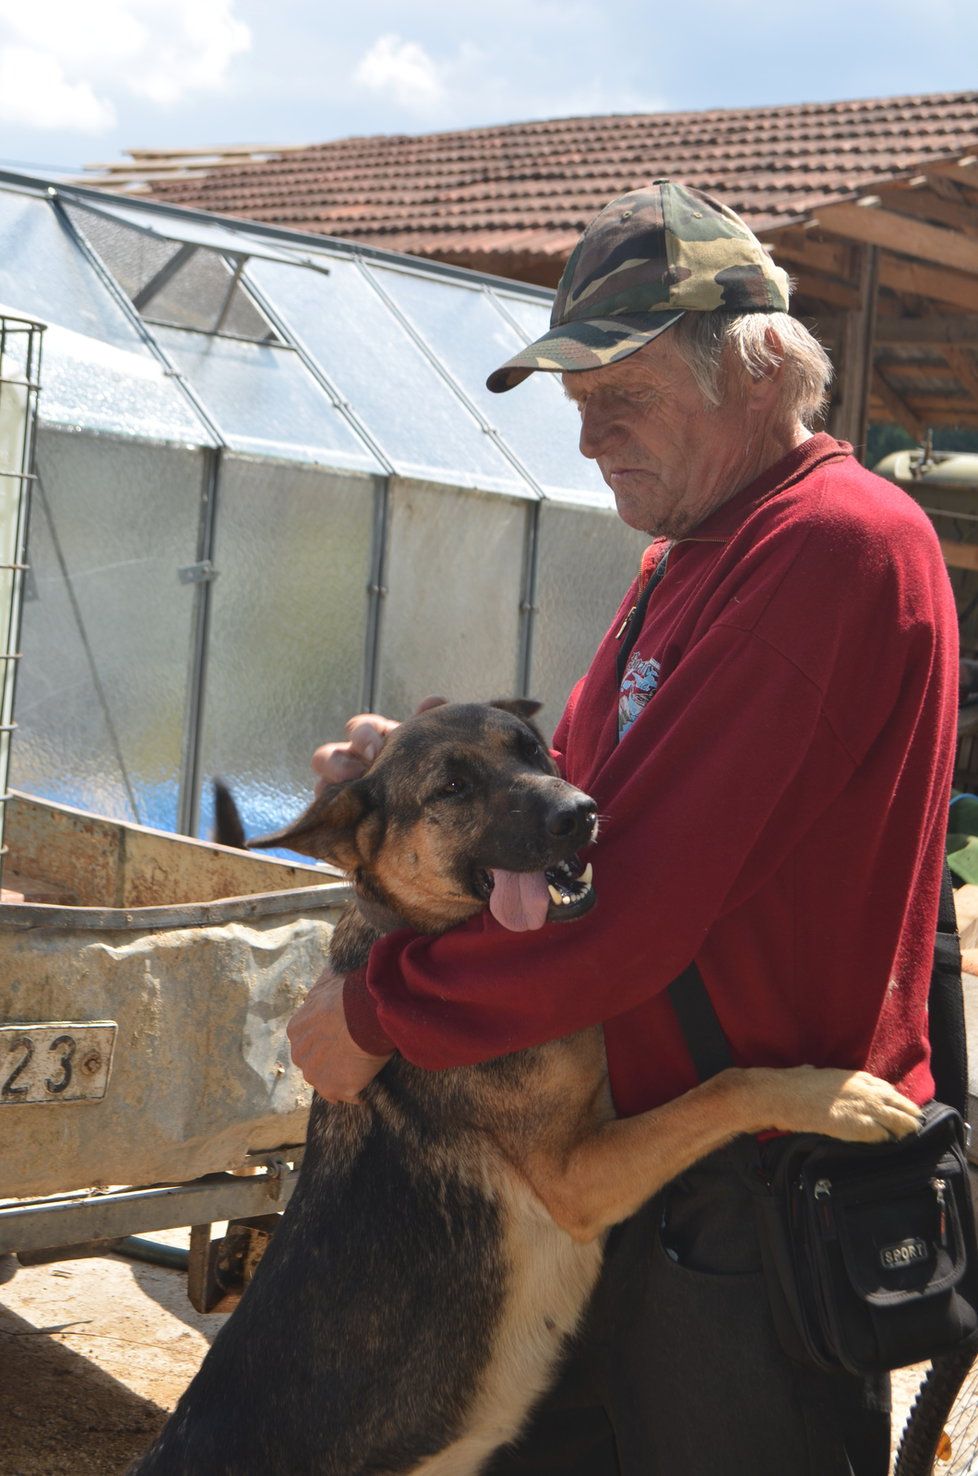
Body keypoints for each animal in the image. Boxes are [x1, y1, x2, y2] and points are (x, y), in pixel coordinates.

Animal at [132, 696, 926, 1470]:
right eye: (452, 787)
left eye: (531, 749)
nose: (581, 811)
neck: (415, 932)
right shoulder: (576, 1178)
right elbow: (723, 1087)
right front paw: (840, 1095)